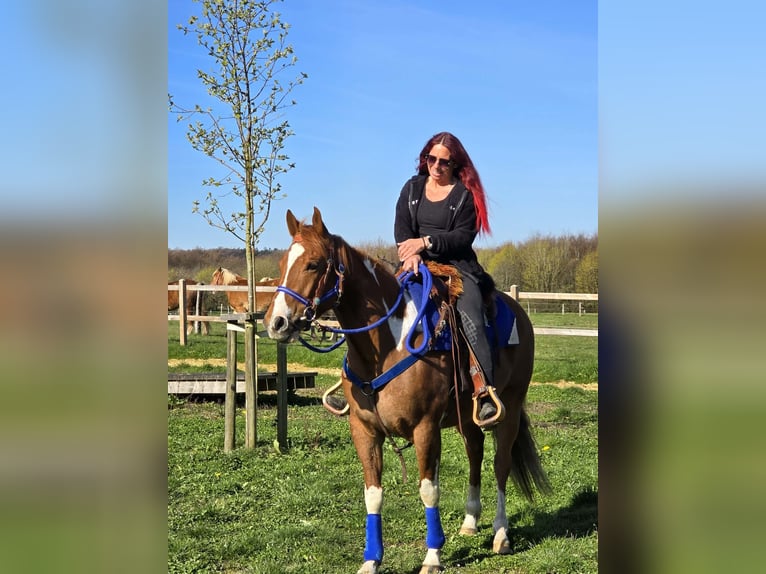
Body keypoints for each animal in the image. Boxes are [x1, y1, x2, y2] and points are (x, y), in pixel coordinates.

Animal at [264, 208, 550, 574]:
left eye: (313, 264)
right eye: (282, 262)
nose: (276, 323)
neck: (388, 345)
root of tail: (518, 313)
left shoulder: (425, 428)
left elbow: (429, 490)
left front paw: (433, 556)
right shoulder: (364, 430)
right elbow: (373, 494)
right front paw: (371, 560)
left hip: (509, 408)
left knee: (501, 464)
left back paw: (501, 535)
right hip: (467, 417)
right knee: (475, 454)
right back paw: (470, 522)